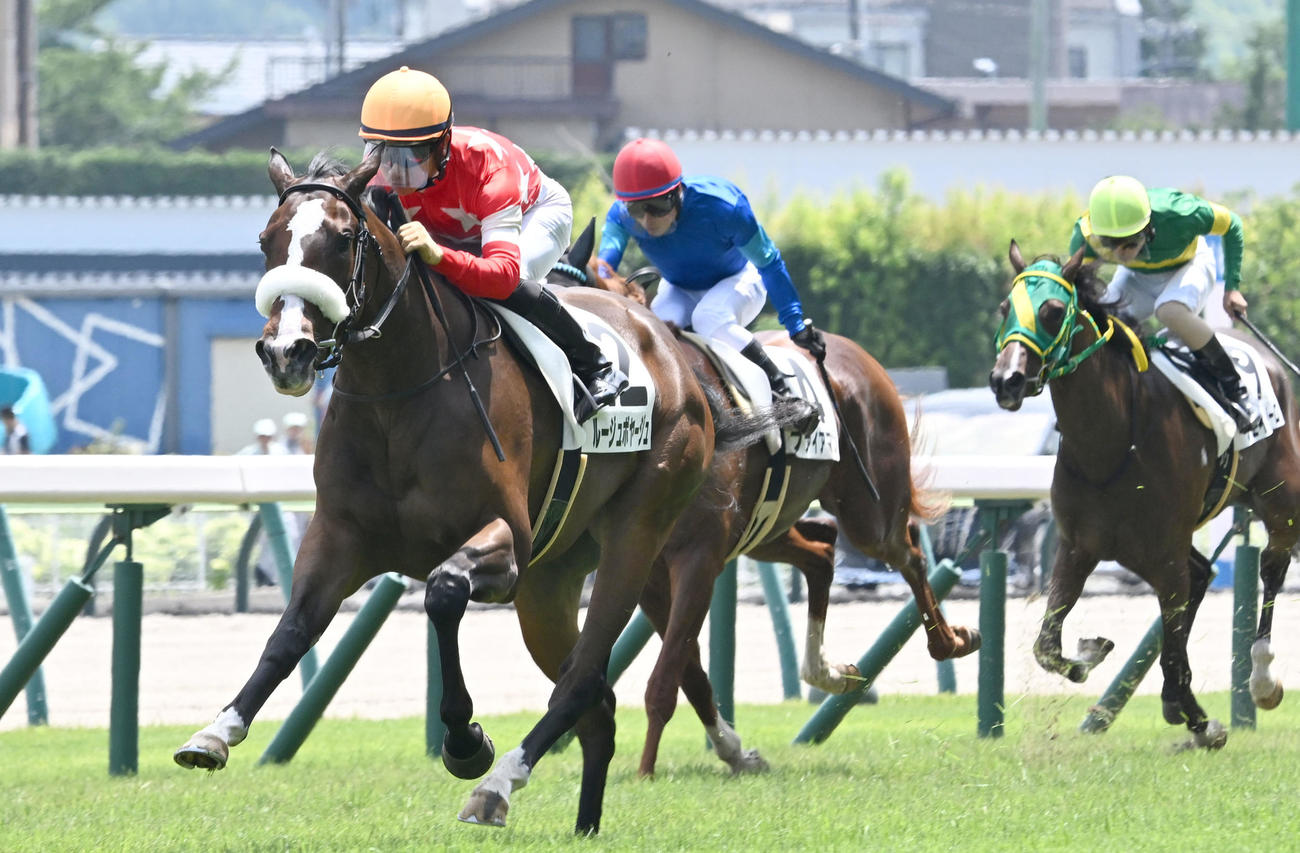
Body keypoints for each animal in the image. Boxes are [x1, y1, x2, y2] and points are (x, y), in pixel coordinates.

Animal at [172, 149, 805, 835]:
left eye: (341, 240)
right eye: (268, 239)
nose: (287, 351)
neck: (400, 391)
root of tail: (673, 353)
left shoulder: (507, 543)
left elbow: (445, 592)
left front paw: (466, 742)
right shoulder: (340, 536)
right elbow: (292, 629)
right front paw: (216, 732)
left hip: (638, 532)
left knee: (584, 677)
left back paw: (497, 786)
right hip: (551, 582)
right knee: (598, 704)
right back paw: (584, 825)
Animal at [550, 228, 982, 776]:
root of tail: (857, 356)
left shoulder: (699, 557)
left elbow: (666, 678)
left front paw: (646, 770)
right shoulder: (647, 570)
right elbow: (690, 672)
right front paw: (734, 751)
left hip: (870, 511)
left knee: (908, 553)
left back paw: (950, 640)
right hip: (766, 527)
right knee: (821, 550)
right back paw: (828, 672)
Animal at [989, 241, 1300, 749]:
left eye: (1052, 312)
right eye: (1003, 309)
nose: (1006, 380)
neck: (1112, 440)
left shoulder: (1163, 558)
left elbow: (1170, 647)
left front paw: (1202, 720)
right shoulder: (1078, 547)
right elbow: (1047, 647)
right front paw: (1091, 652)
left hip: (1278, 498)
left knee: (1272, 566)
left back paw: (1261, 679)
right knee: (1203, 574)